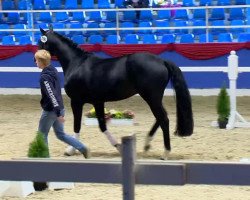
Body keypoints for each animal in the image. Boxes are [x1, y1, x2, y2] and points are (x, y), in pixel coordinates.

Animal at [38, 27, 193, 159]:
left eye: (40, 42)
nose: (36, 58)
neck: (77, 64)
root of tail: (162, 61)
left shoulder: (76, 101)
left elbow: (77, 126)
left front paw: (71, 150)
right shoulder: (98, 102)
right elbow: (102, 125)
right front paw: (119, 147)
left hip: (151, 97)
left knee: (163, 119)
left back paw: (165, 153)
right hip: (153, 98)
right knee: (160, 118)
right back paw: (147, 144)